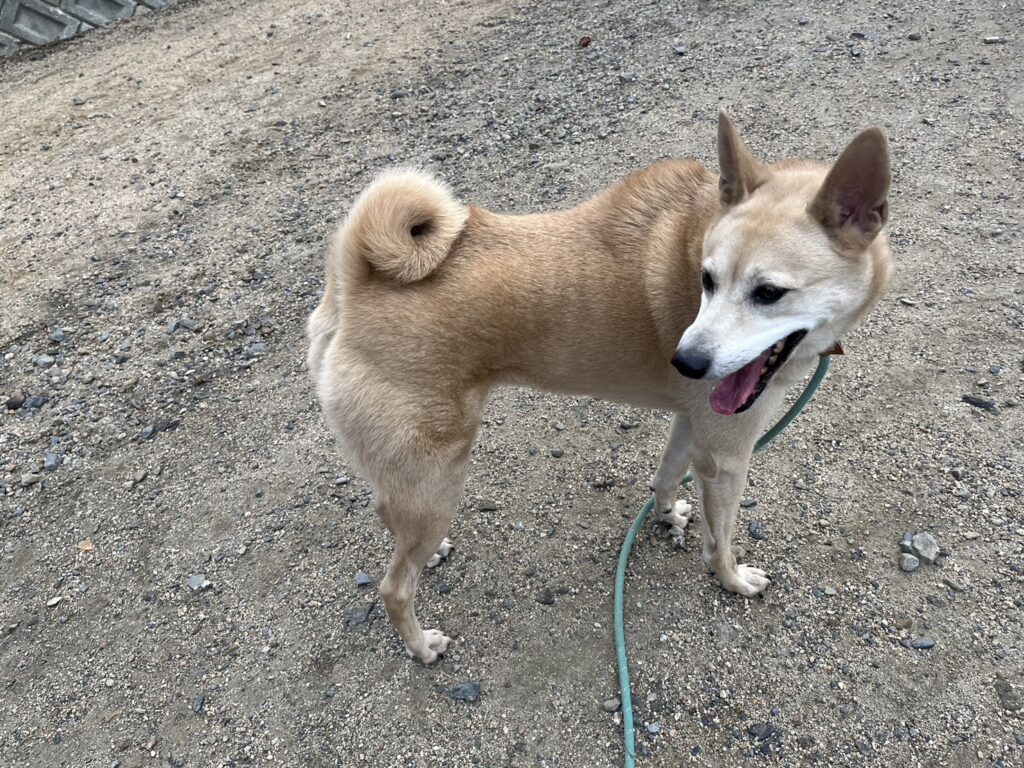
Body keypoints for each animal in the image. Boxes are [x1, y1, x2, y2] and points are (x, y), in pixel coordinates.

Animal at [307, 113, 893, 663]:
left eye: (769, 293)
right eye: (706, 280)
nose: (685, 362)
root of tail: (355, 286)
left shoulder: (692, 424)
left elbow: (664, 477)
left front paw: (667, 516)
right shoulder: (727, 456)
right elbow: (720, 539)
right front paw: (731, 579)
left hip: (416, 481)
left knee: (389, 516)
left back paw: (429, 555)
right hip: (438, 479)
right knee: (393, 587)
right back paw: (421, 644)